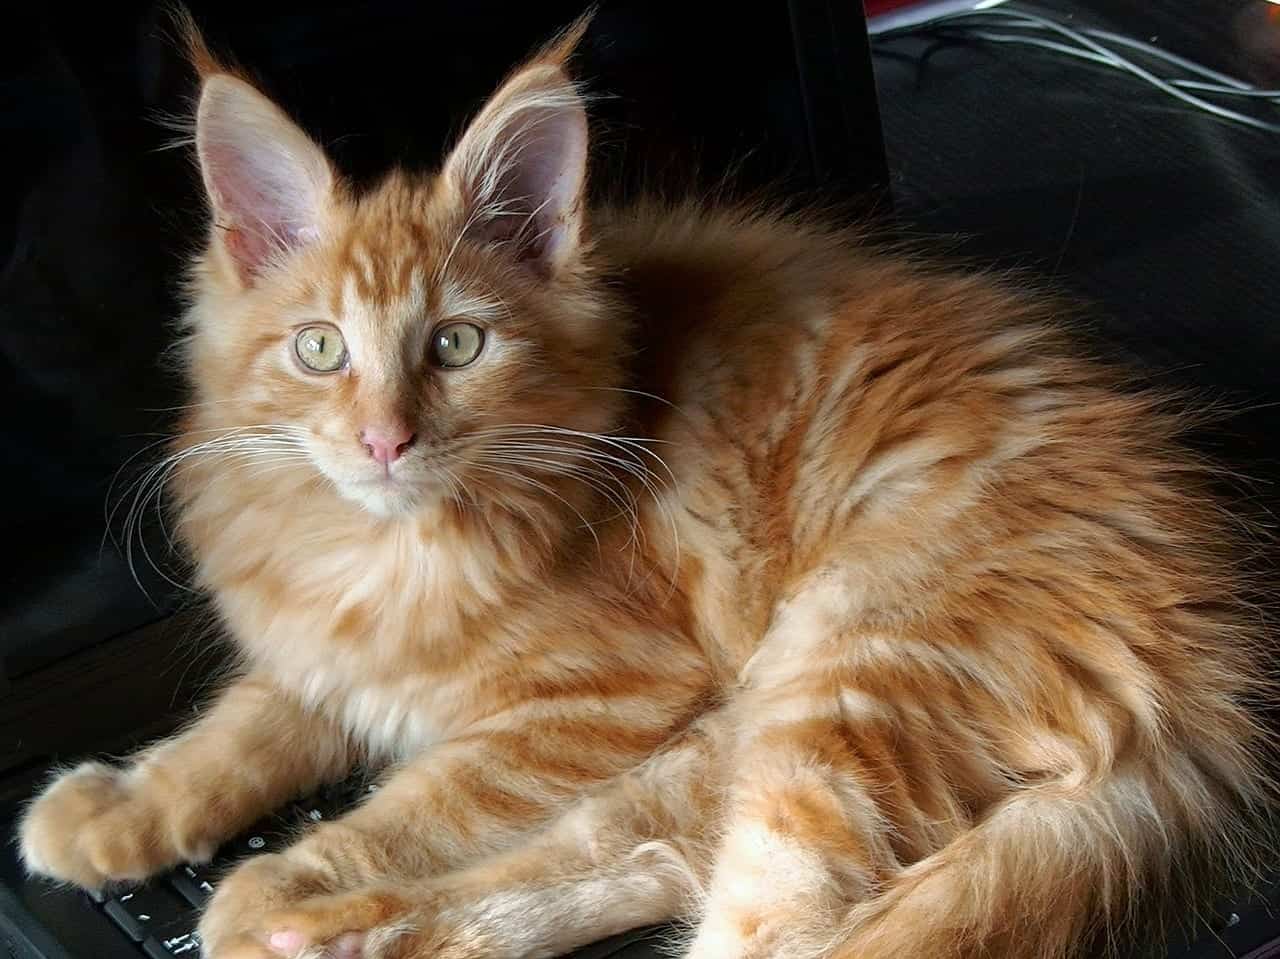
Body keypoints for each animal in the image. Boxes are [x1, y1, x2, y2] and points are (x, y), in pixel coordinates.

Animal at [15, 14, 1274, 957]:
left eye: (457, 346)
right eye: (319, 349)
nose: (382, 441)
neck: (387, 548)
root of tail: (1208, 649)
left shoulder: (592, 700)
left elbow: (410, 805)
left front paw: (283, 876)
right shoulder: (330, 648)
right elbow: (240, 726)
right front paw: (119, 805)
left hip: (830, 685)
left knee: (763, 921)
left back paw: (300, 916)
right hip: (733, 738)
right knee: (646, 858)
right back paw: (360, 932)